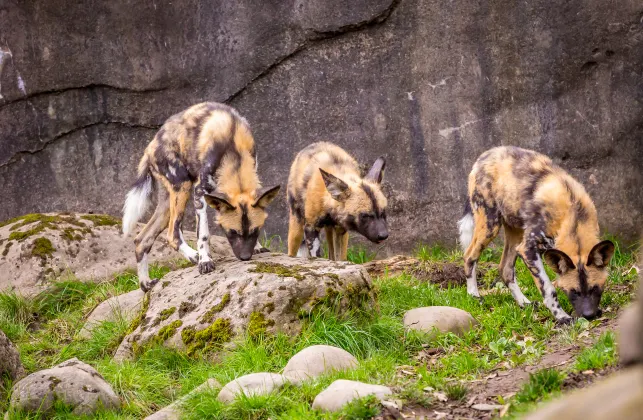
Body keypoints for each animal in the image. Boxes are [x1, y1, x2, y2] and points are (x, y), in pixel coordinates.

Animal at [122, 102, 280, 292]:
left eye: (255, 231)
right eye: (232, 232)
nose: (244, 257)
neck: (233, 149)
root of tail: (150, 146)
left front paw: (257, 247)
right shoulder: (200, 193)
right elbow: (204, 235)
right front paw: (205, 261)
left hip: (167, 204)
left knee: (142, 240)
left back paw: (146, 284)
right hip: (182, 187)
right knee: (172, 234)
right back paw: (194, 256)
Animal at [460, 146, 616, 324]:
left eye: (595, 288)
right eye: (573, 291)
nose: (588, 315)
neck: (574, 215)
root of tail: (486, 155)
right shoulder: (528, 250)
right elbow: (549, 289)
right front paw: (562, 317)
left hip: (515, 233)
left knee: (505, 270)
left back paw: (524, 303)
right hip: (490, 226)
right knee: (470, 256)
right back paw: (474, 296)